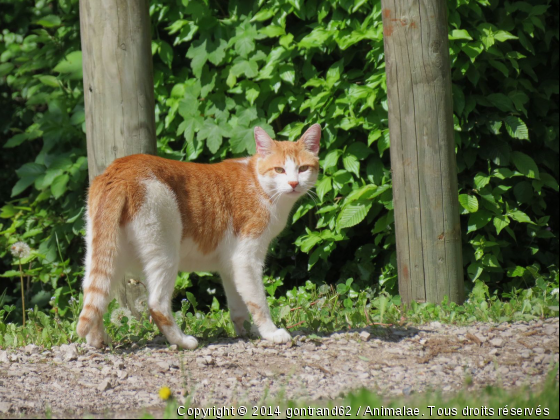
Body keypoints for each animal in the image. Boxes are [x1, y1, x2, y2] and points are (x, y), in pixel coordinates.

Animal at [79, 124, 322, 348]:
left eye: (303, 169)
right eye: (279, 170)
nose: (293, 183)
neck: (260, 185)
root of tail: (120, 170)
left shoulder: (231, 264)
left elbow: (238, 305)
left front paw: (247, 331)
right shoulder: (247, 259)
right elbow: (258, 301)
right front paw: (270, 333)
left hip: (106, 253)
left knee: (94, 294)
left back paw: (97, 340)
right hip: (165, 254)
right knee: (157, 304)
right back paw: (182, 341)